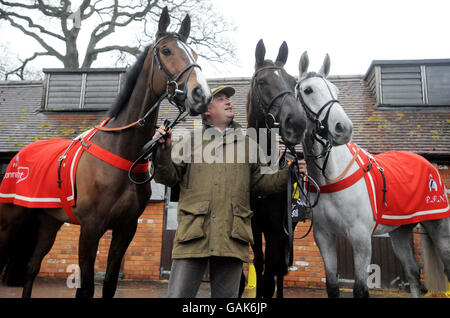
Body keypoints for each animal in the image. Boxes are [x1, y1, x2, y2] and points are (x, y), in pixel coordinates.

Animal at [0, 6, 212, 296]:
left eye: (195, 53)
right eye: (167, 50)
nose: (201, 95)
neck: (122, 152)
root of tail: (19, 156)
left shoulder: (125, 229)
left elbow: (110, 282)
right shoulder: (90, 229)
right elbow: (87, 287)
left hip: (48, 221)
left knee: (32, 269)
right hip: (11, 222)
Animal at [296, 51, 450, 296]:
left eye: (335, 90)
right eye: (308, 89)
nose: (343, 128)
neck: (331, 176)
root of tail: (429, 165)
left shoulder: (361, 239)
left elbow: (361, 290)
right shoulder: (324, 237)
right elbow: (332, 286)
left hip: (440, 229)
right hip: (400, 232)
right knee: (413, 274)